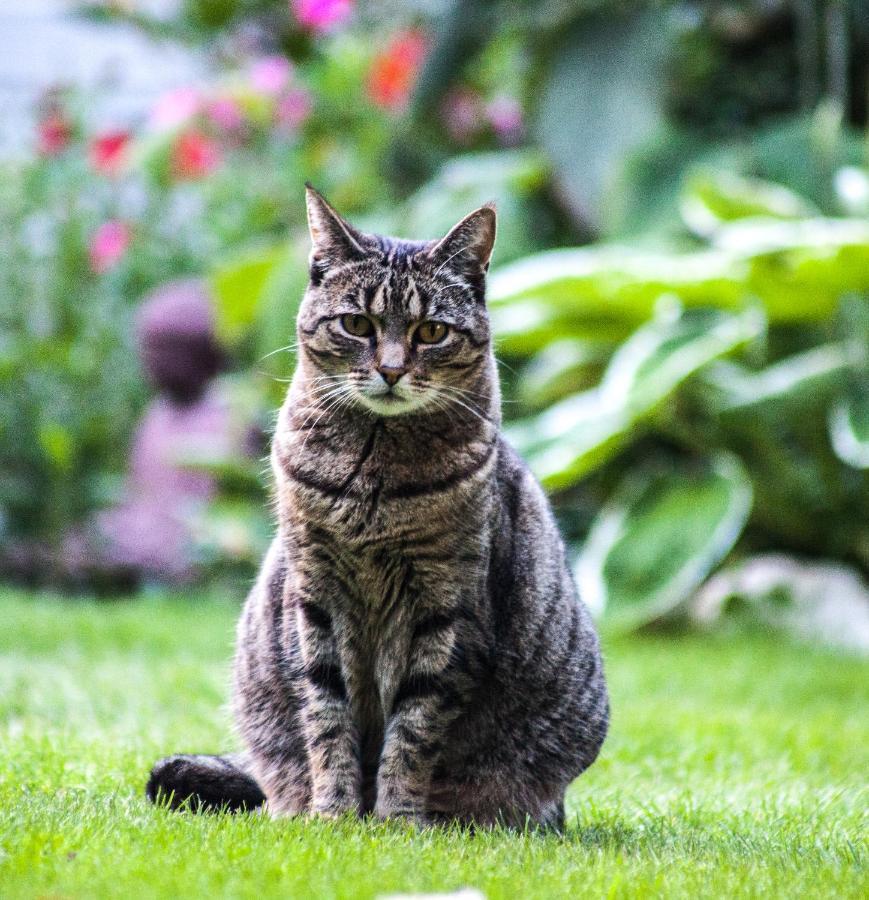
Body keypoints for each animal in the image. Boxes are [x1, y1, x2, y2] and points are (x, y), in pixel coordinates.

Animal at [146, 186, 608, 828]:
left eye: (432, 331)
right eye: (357, 324)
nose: (391, 370)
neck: (373, 483)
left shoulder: (448, 607)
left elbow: (414, 728)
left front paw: (396, 822)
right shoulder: (315, 594)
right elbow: (326, 713)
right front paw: (335, 815)